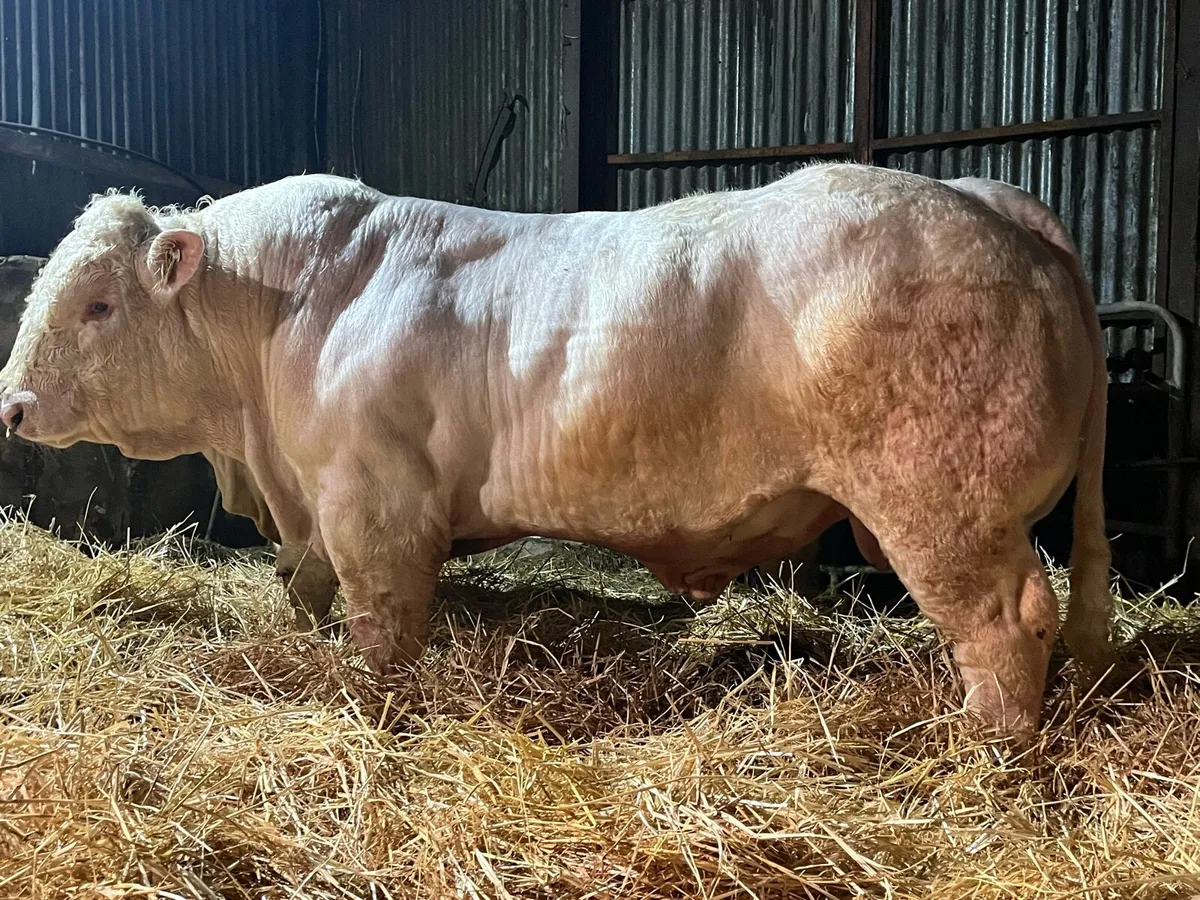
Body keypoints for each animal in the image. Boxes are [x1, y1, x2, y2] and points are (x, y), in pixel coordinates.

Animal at [0, 163, 1114, 735]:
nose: (10, 405)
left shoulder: (372, 502)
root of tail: (984, 197)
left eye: (97, 305)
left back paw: (983, 745)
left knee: (1006, 623)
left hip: (944, 504)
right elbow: (306, 589)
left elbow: (381, 625)